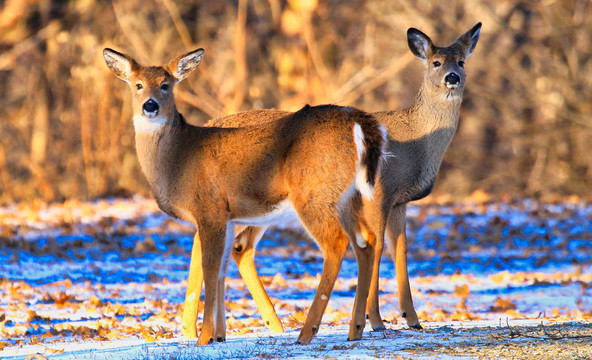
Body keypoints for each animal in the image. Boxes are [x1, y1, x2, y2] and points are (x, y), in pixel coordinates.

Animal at [103, 46, 386, 344]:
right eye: (138, 85)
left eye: (165, 85)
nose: (150, 105)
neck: (177, 158)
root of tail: (357, 121)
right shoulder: (227, 217)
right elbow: (221, 268)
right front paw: (216, 336)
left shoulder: (210, 209)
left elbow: (210, 266)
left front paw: (204, 337)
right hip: (346, 197)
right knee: (366, 240)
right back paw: (355, 329)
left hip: (313, 193)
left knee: (336, 243)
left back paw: (307, 331)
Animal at [180, 21, 480, 338]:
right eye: (436, 62)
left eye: (461, 61)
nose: (452, 78)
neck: (415, 143)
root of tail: (210, 124)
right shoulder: (377, 194)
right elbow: (378, 248)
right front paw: (375, 320)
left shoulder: (399, 202)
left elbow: (400, 250)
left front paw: (411, 318)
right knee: (213, 241)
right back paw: (196, 328)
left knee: (236, 247)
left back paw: (266, 324)